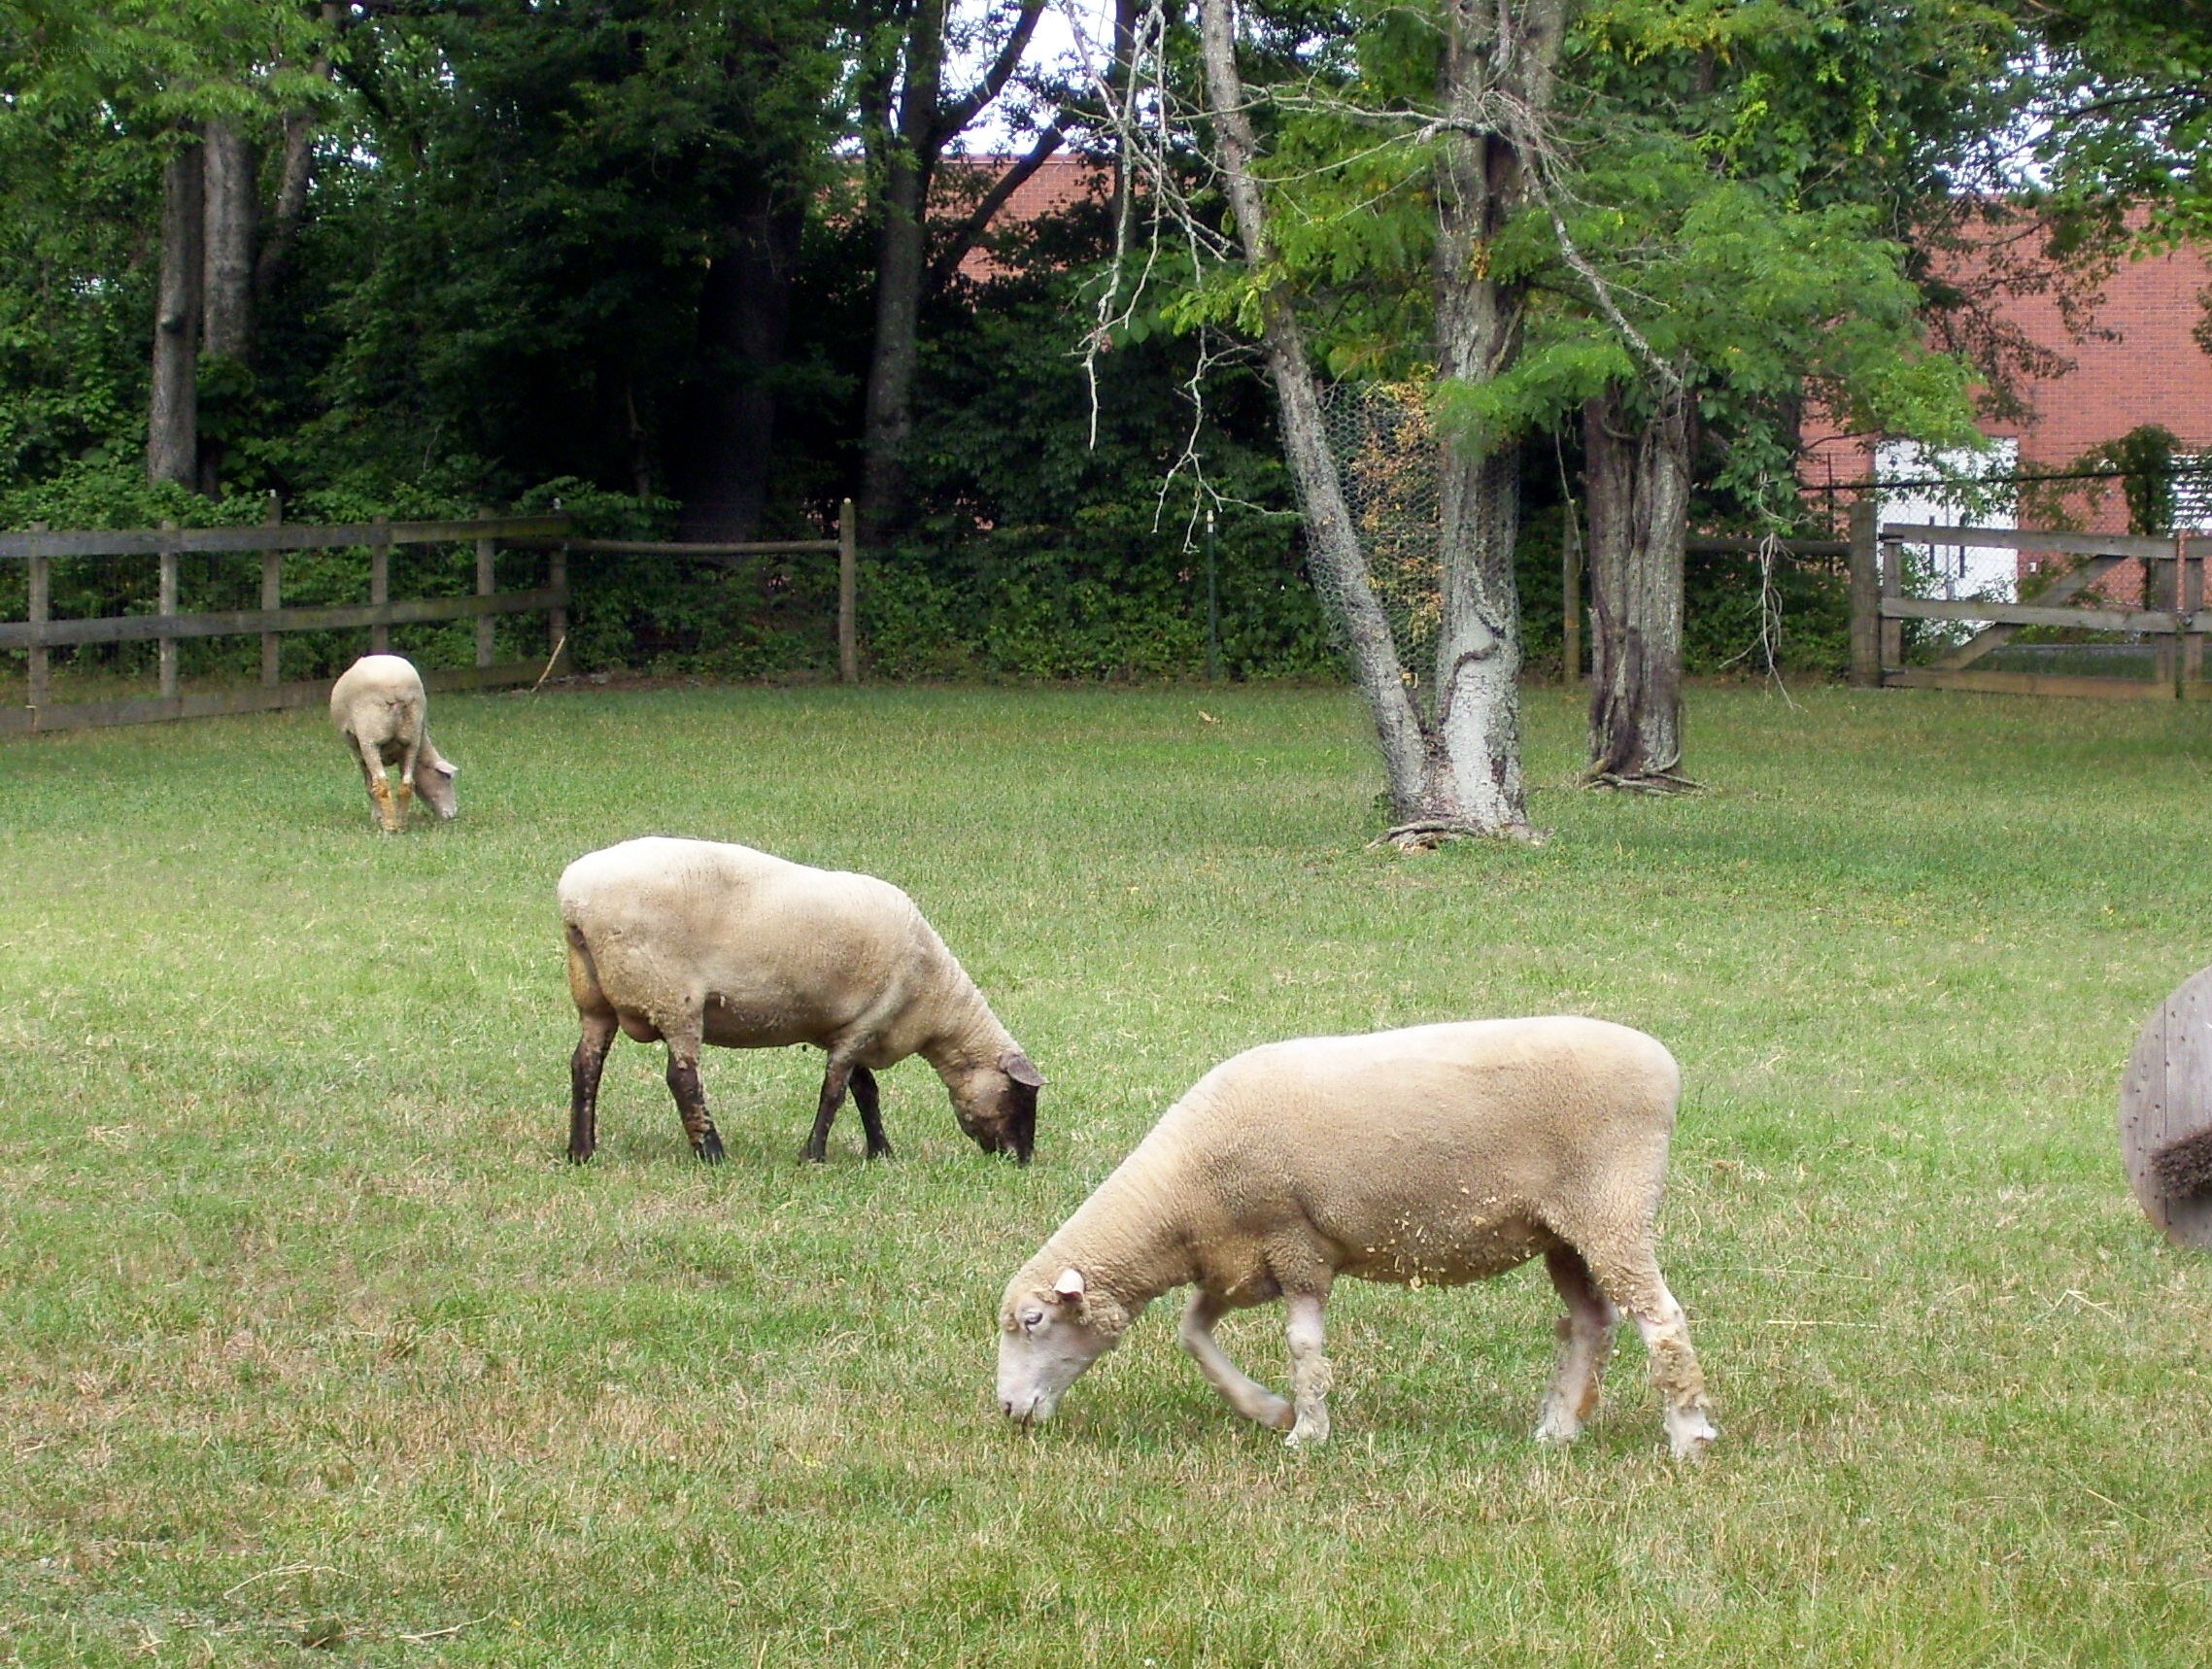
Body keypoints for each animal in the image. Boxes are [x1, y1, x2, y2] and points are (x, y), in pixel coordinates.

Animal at [329, 654, 458, 833]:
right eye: (446, 777)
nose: (452, 814)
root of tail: (396, 689)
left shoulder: (359, 752)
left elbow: (370, 786)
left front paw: (377, 817)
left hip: (369, 738)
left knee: (381, 782)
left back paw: (389, 826)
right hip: (412, 735)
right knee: (407, 783)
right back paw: (401, 823)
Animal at [558, 836, 1044, 1166]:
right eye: (1021, 1095)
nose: (1021, 1160)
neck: (936, 1001)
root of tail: (574, 898)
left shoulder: (854, 1025)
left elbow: (865, 1091)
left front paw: (881, 1152)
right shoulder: (868, 1023)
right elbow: (835, 1093)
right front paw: (814, 1155)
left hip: (593, 995)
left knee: (585, 1066)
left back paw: (581, 1151)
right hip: (672, 997)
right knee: (682, 1079)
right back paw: (712, 1153)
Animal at [995, 1017, 1717, 1460]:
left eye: (1033, 1321)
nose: (1006, 1410)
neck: (1178, 1200)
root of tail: (1665, 1065)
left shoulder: (1295, 1245)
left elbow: (1302, 1346)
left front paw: (1306, 1432)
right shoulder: (1240, 1260)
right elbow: (1193, 1335)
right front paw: (1267, 1409)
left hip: (1613, 1207)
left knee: (1662, 1319)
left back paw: (1688, 1436)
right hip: (1566, 1233)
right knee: (1593, 1323)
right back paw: (1559, 1429)